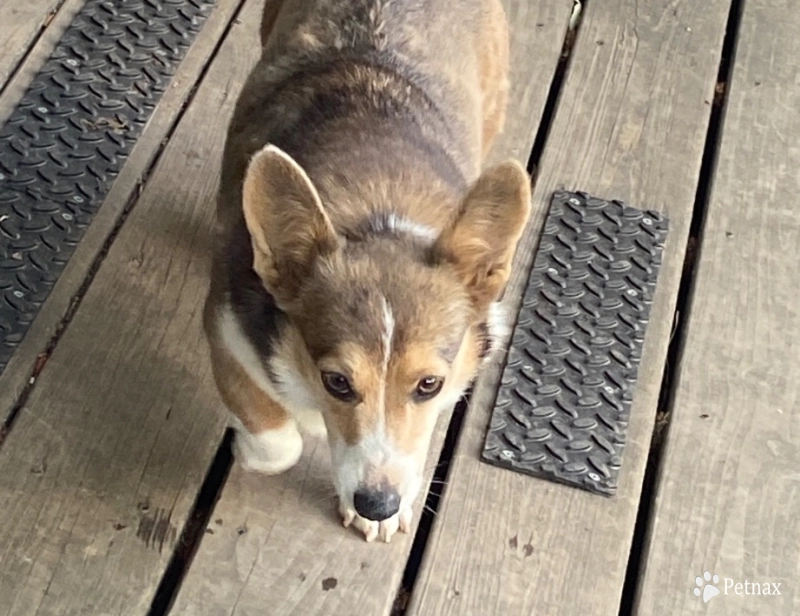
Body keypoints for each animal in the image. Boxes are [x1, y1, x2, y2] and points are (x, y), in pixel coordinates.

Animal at [203, 0, 532, 540]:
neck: (378, 216)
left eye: (429, 385)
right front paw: (258, 445)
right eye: (337, 381)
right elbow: (277, 444)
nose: (377, 505)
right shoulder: (226, 330)